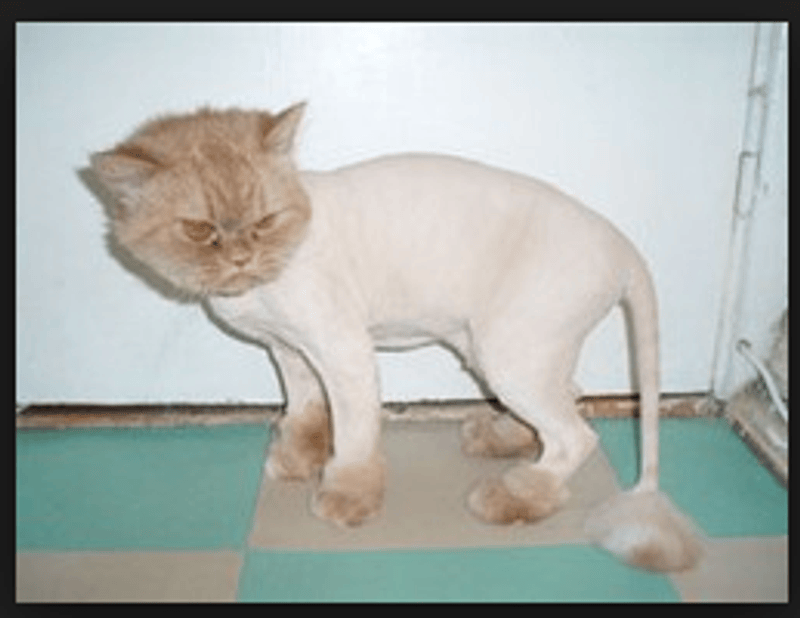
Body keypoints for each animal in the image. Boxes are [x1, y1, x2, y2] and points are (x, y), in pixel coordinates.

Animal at [89, 102, 702, 572]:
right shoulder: (288, 350)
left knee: (576, 436)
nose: (241, 258)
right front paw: (298, 459)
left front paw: (344, 501)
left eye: (263, 221)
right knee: (568, 399)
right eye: (199, 231)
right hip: (498, 347)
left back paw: (511, 495)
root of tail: (624, 246)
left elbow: (356, 437)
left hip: (509, 350)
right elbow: (304, 411)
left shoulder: (343, 349)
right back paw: (501, 438)